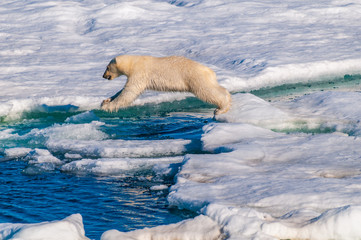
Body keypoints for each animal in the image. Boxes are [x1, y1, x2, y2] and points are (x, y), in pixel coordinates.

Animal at [101, 55, 231, 114]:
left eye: (107, 67)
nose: (103, 75)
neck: (134, 62)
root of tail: (209, 71)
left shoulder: (140, 73)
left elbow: (129, 92)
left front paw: (108, 106)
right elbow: (124, 90)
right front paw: (106, 100)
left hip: (195, 78)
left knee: (207, 91)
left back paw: (221, 108)